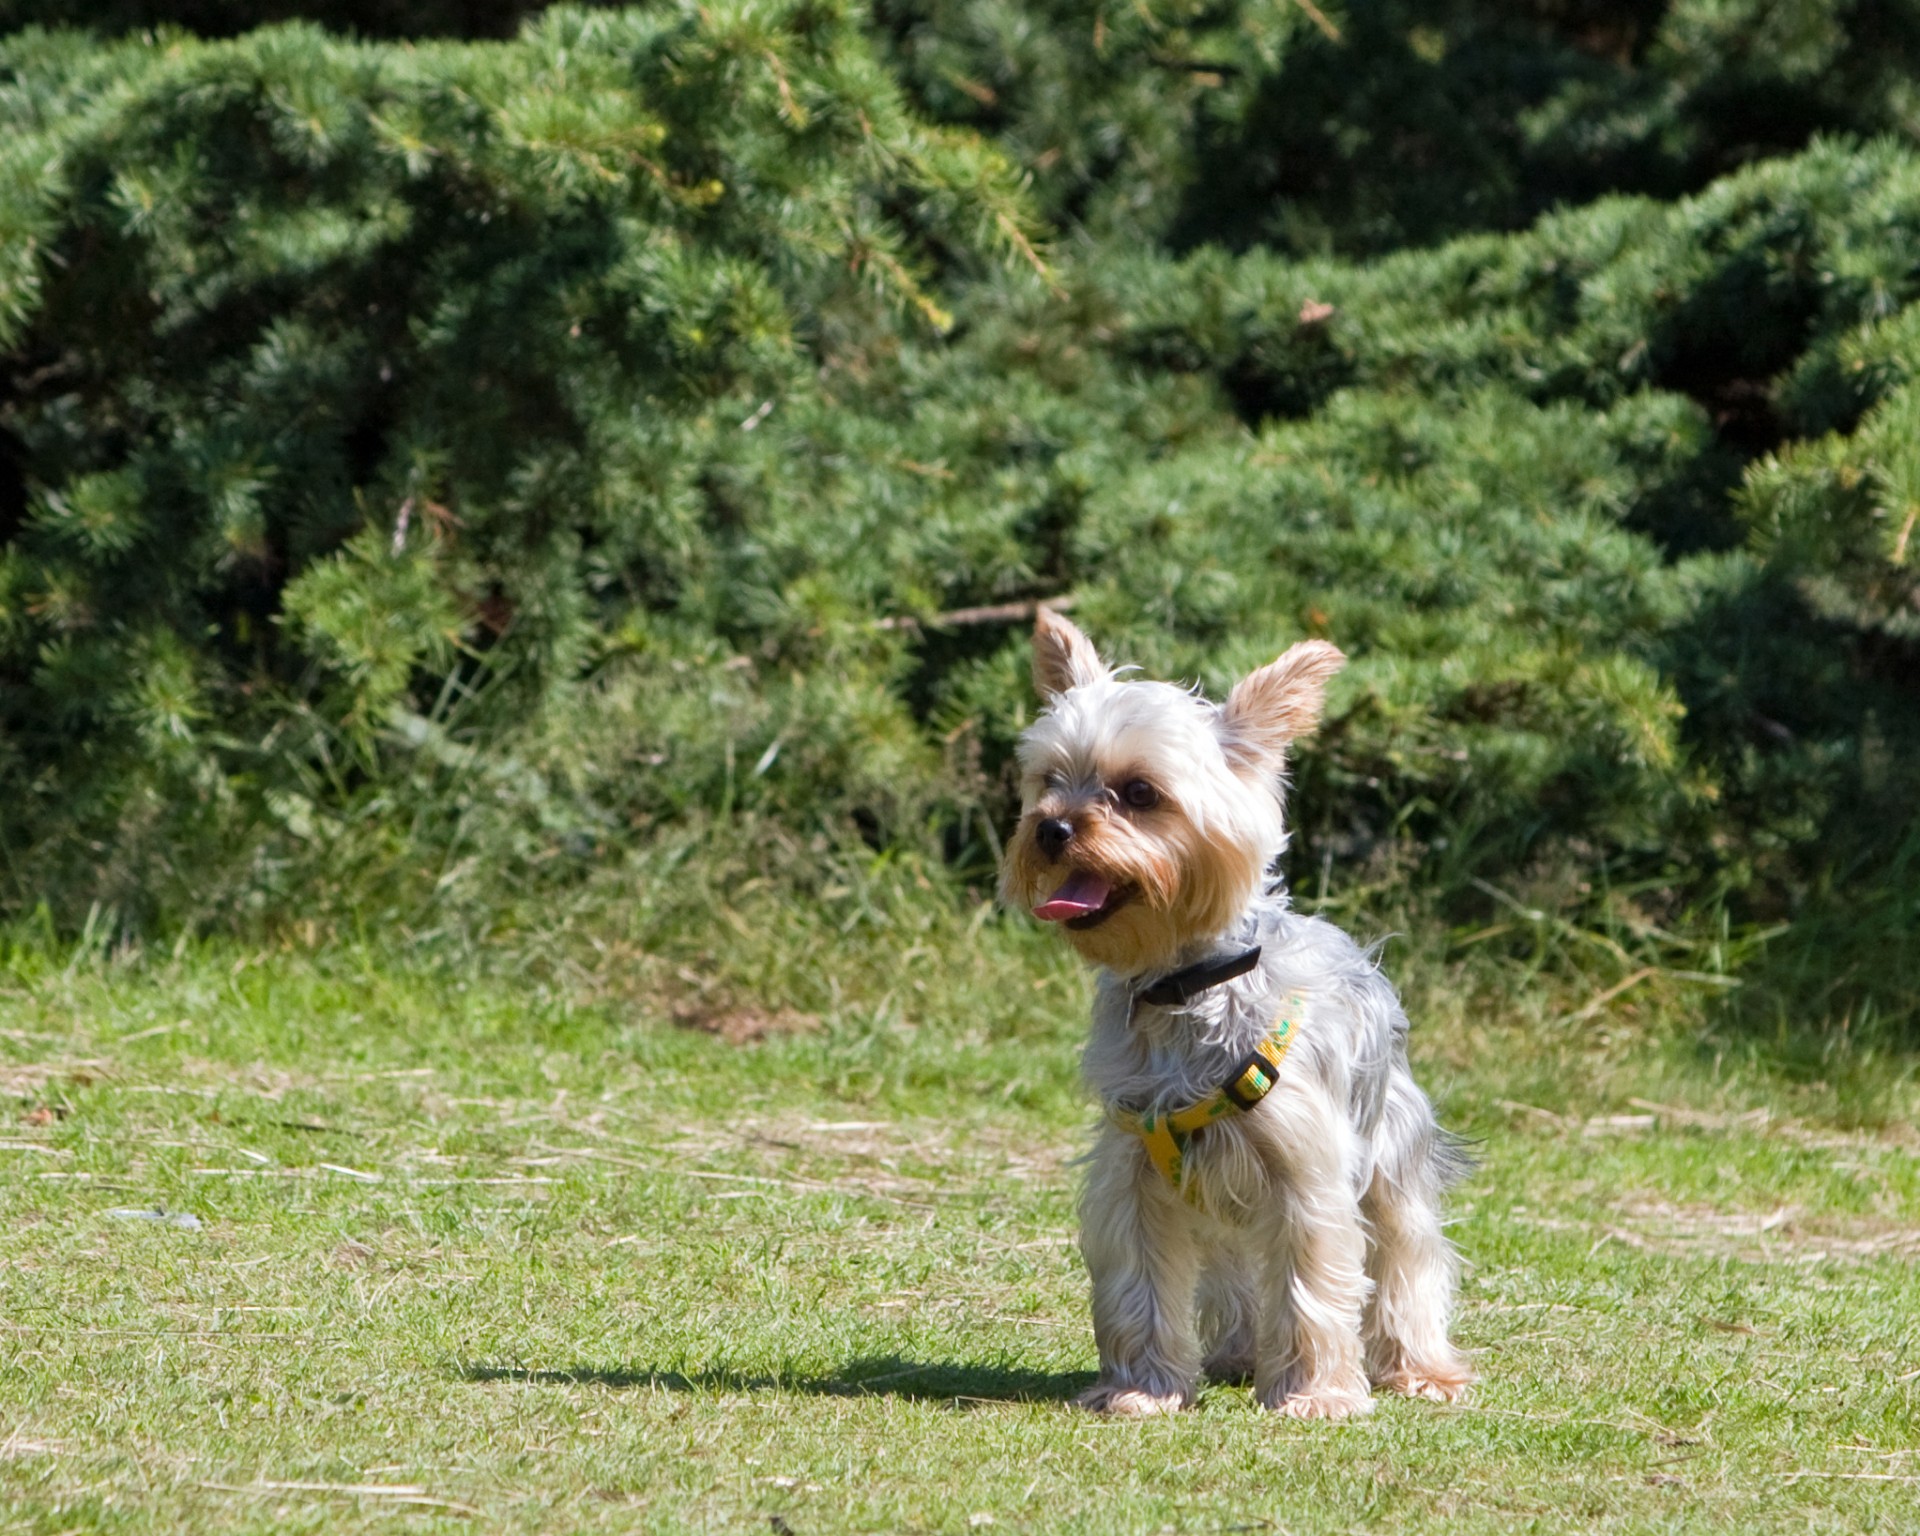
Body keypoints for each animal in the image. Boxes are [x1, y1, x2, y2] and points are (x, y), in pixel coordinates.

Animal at [1006, 606, 1466, 1420]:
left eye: (1139, 792)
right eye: (1049, 783)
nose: (1050, 830)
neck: (1183, 985)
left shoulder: (1306, 1168)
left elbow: (1313, 1283)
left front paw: (1316, 1395)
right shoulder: (1133, 1169)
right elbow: (1138, 1284)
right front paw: (1142, 1387)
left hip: (1393, 1149)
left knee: (1407, 1255)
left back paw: (1420, 1368)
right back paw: (1239, 1354)